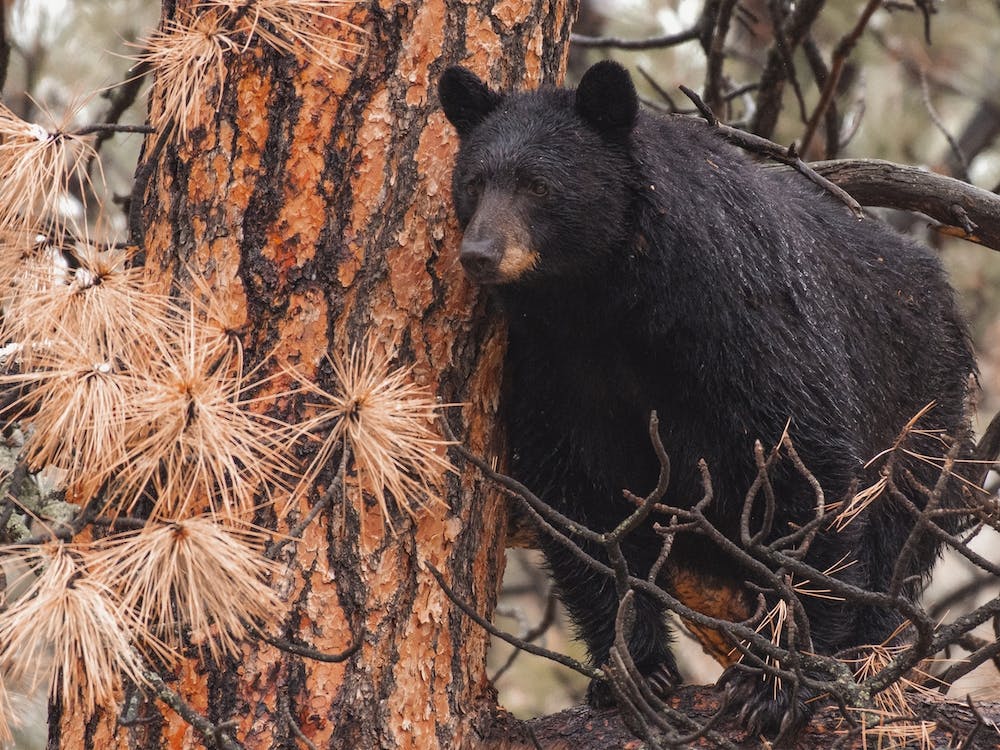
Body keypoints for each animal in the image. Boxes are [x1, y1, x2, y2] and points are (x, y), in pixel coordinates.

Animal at [438, 60, 981, 736]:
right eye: (474, 181)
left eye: (538, 185)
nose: (479, 253)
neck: (609, 299)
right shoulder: (550, 362)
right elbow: (576, 499)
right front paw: (635, 671)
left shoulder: (742, 317)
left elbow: (805, 464)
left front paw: (773, 681)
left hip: (922, 418)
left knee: (896, 535)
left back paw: (864, 657)